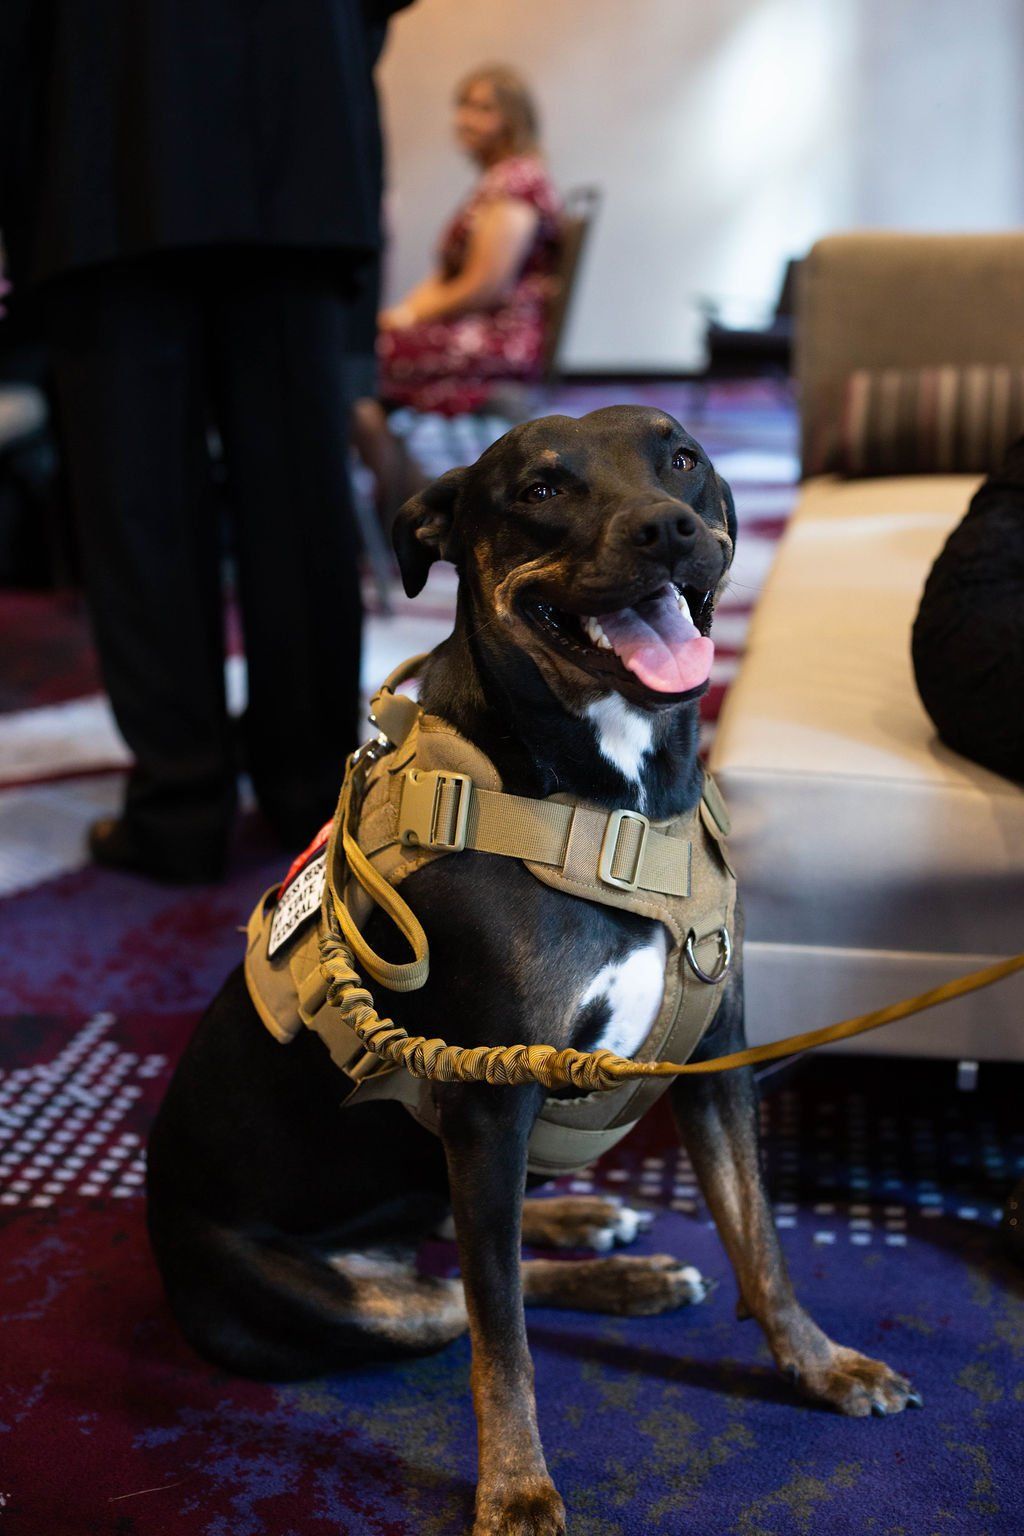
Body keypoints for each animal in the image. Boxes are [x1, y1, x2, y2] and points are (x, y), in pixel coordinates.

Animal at [147, 405, 920, 1536]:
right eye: (541, 490)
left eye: (681, 456)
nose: (667, 527)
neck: (608, 806)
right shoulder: (485, 1099)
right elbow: (501, 1344)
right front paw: (516, 1491)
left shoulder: (716, 1059)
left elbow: (759, 1239)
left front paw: (819, 1366)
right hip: (343, 1294)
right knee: (460, 1293)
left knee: (472, 1248)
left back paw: (601, 1234)